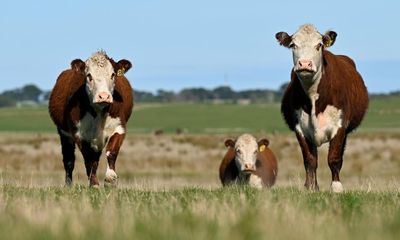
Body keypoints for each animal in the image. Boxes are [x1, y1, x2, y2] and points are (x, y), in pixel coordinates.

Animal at [49, 49, 134, 187]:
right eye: (89, 76)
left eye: (113, 75)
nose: (103, 96)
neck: (99, 112)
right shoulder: (79, 134)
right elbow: (88, 159)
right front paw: (94, 184)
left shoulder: (119, 127)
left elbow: (111, 152)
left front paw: (110, 179)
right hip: (64, 134)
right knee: (69, 160)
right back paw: (68, 185)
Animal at [276, 23, 368, 193]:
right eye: (293, 45)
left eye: (318, 45)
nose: (305, 64)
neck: (314, 99)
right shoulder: (300, 128)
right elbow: (310, 160)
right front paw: (311, 187)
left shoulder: (340, 127)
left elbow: (334, 158)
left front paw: (336, 187)